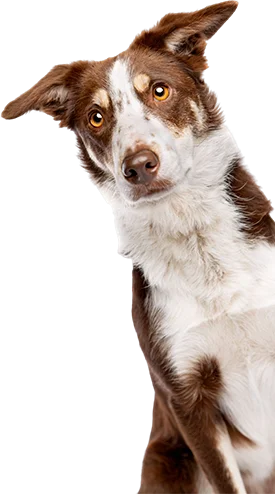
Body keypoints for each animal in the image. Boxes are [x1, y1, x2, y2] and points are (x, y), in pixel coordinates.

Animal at [1, 1, 274, 492]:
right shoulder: (187, 400)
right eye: (96, 116)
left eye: (160, 91)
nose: (139, 166)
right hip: (166, 460)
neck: (196, 237)